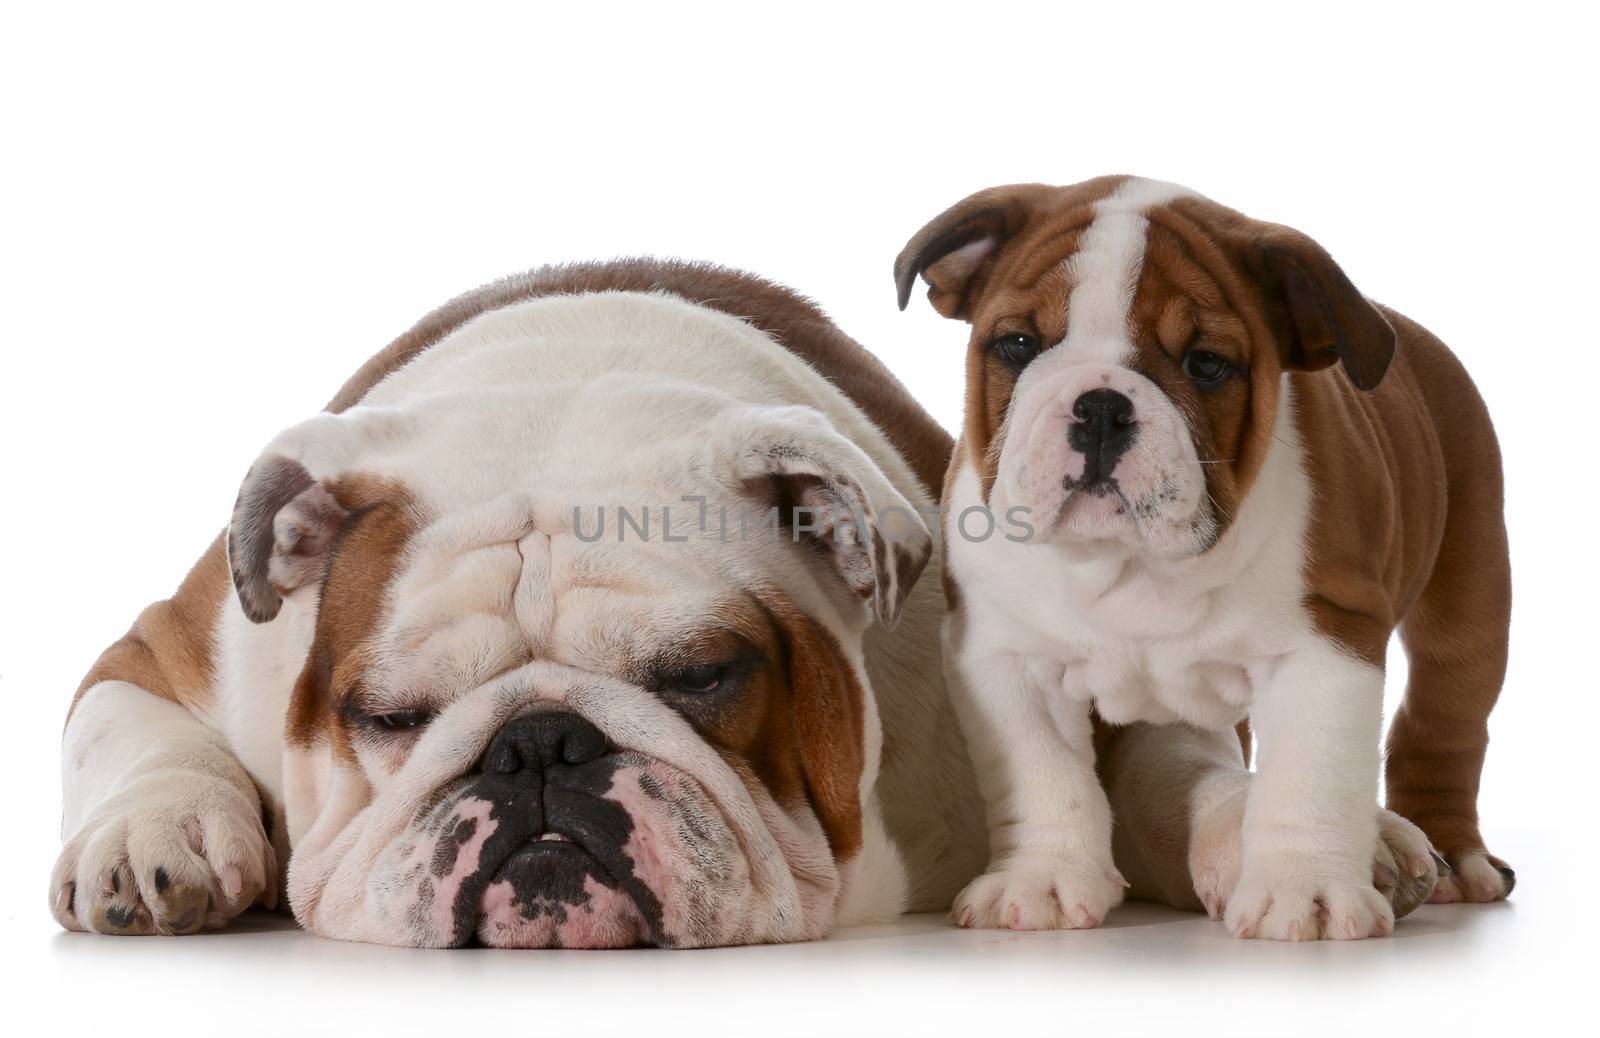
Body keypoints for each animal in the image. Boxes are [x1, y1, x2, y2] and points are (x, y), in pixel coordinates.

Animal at [50, 254, 1433, 940]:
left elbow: (1171, 771)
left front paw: (1301, 842)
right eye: (387, 717)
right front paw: (161, 834)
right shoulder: (167, 649)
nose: (536, 746)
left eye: (704, 677)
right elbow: (130, 727)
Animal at [902, 178, 1510, 940]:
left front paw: (1304, 891)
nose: (1100, 407)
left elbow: (1308, 775)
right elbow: (1042, 772)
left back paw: (1460, 859)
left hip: (1470, 584)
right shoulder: (1005, 654)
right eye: (1017, 345)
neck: (1130, 563)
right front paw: (1042, 878)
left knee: (1445, 720)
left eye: (1207, 364)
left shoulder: (1327, 643)